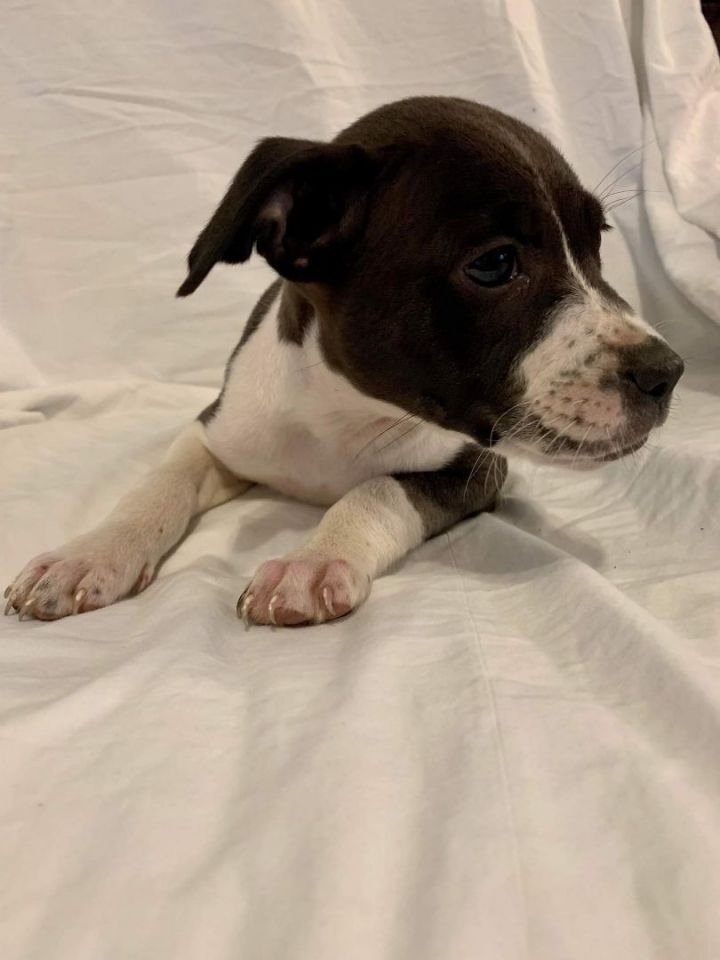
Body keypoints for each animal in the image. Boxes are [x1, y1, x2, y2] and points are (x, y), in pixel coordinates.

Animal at [4, 96, 684, 627]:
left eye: (597, 243)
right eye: (494, 264)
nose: (667, 374)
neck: (340, 413)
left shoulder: (476, 466)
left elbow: (378, 488)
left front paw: (309, 561)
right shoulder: (216, 431)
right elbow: (158, 483)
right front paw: (92, 552)